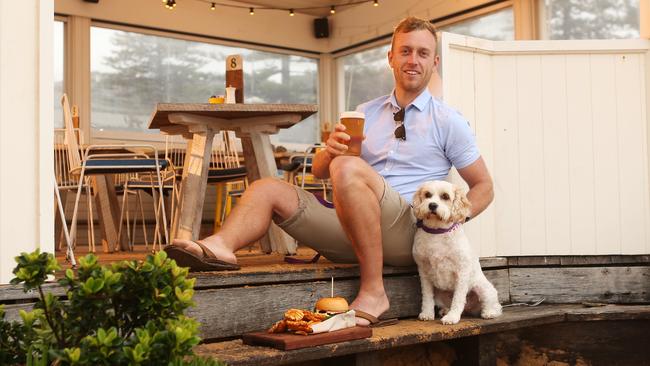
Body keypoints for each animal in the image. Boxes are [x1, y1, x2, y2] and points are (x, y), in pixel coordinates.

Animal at [410, 180, 502, 324]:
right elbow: (427, 297)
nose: (432, 205)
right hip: (439, 295)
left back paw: (489, 312)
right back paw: (445, 310)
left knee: (494, 304)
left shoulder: (462, 271)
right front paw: (427, 313)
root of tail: (469, 308)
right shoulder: (424, 272)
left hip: (484, 289)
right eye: (427, 194)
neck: (437, 232)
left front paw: (452, 317)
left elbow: (458, 298)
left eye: (445, 196)